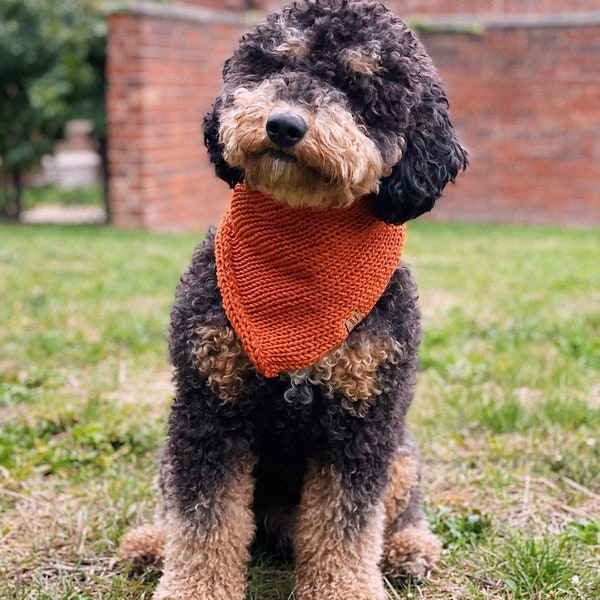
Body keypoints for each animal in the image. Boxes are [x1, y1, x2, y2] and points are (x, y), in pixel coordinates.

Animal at [120, 2, 468, 596]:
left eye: (357, 87)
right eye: (274, 64)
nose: (284, 124)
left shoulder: (363, 422)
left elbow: (346, 524)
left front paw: (347, 587)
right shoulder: (208, 409)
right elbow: (202, 519)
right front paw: (191, 585)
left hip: (400, 452)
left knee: (398, 508)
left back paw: (407, 549)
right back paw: (151, 542)